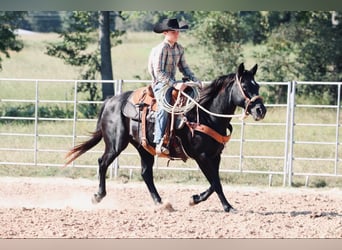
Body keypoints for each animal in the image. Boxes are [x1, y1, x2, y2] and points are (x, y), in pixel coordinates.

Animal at [65, 63, 268, 212]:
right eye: (244, 86)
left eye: (257, 85)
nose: (261, 110)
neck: (205, 114)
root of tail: (110, 101)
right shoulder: (201, 156)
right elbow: (216, 183)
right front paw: (228, 207)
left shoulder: (215, 156)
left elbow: (214, 182)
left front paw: (195, 199)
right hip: (116, 144)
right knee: (102, 163)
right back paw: (98, 196)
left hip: (143, 147)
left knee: (146, 173)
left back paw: (161, 203)